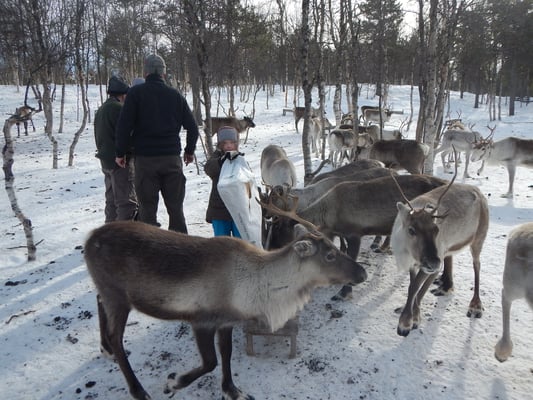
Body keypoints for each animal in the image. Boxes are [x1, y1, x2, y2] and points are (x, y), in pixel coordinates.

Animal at [84, 220, 367, 400]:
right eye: (329, 255)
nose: (362, 273)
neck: (255, 285)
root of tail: (89, 240)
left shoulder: (227, 321)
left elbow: (227, 354)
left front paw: (232, 391)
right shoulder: (202, 321)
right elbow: (210, 361)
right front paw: (174, 382)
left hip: (108, 292)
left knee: (98, 302)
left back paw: (105, 349)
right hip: (118, 296)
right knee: (117, 337)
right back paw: (138, 390)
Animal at [390, 167, 489, 337]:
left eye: (436, 229)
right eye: (411, 230)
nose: (433, 262)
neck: (406, 252)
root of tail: (480, 192)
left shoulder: (432, 261)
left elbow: (415, 288)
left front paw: (408, 322)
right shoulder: (416, 263)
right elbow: (412, 285)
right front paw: (409, 313)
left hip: (478, 238)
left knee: (477, 265)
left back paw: (475, 305)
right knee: (451, 259)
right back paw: (445, 286)